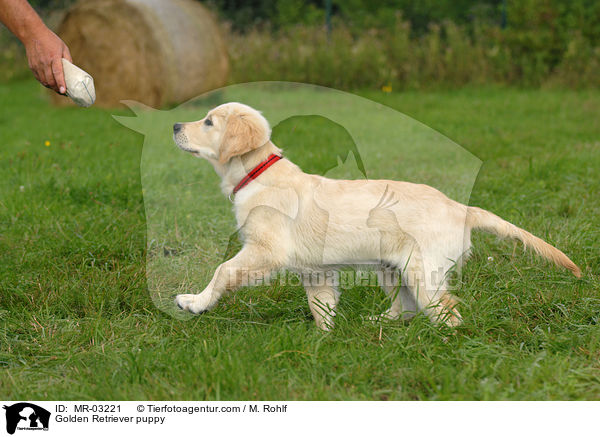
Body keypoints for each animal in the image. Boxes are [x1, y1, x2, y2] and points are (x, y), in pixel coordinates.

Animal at [172, 101, 580, 328]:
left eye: (208, 122)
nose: (175, 125)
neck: (257, 172)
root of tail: (459, 206)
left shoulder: (265, 250)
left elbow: (222, 271)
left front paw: (195, 303)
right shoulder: (316, 270)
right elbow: (321, 306)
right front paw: (323, 340)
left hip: (422, 270)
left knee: (446, 312)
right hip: (393, 268)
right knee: (406, 307)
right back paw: (378, 325)